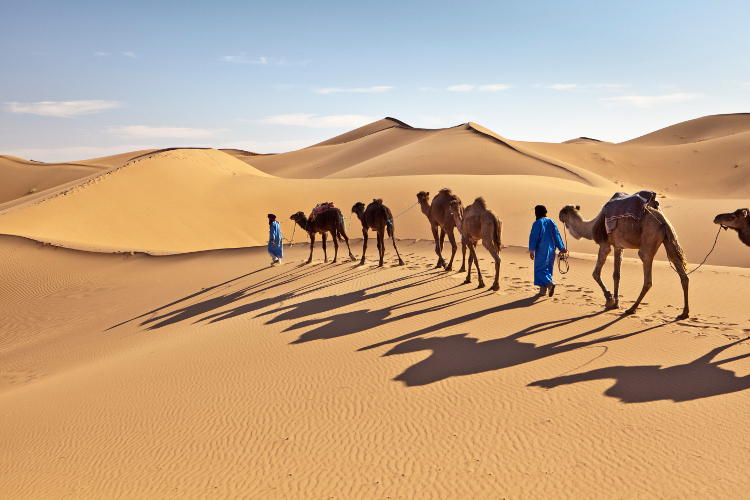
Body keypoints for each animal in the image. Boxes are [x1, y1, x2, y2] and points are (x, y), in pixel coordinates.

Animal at [560, 201, 692, 318]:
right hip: (669, 240)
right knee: (681, 271)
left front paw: (609, 299)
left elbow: (595, 273)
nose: (559, 216)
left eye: (563, 212)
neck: (592, 226)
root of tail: (663, 221)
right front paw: (616, 303)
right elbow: (616, 275)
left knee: (647, 276)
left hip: (649, 237)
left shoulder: (605, 245)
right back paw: (684, 313)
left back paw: (631, 309)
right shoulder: (618, 246)